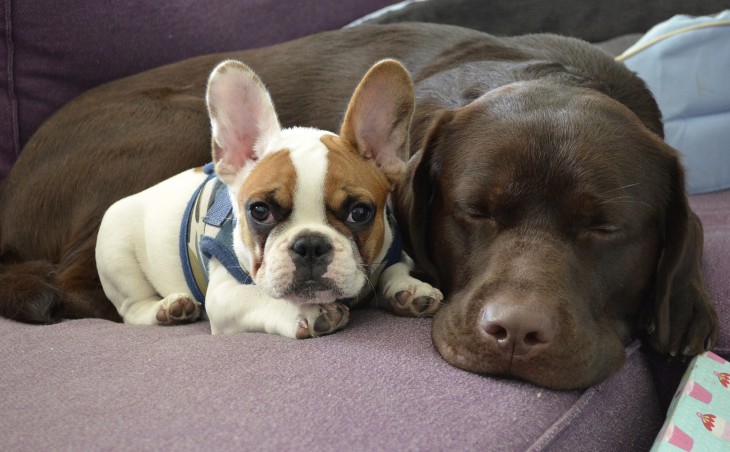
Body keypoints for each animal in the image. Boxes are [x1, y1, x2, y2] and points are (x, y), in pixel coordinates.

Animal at [94, 58, 440, 338]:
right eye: (259, 211)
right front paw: (310, 312)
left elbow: (395, 268)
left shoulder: (393, 251)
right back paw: (168, 309)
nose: (310, 244)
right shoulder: (224, 296)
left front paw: (409, 289)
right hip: (116, 250)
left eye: (360, 212)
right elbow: (261, 296)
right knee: (131, 308)